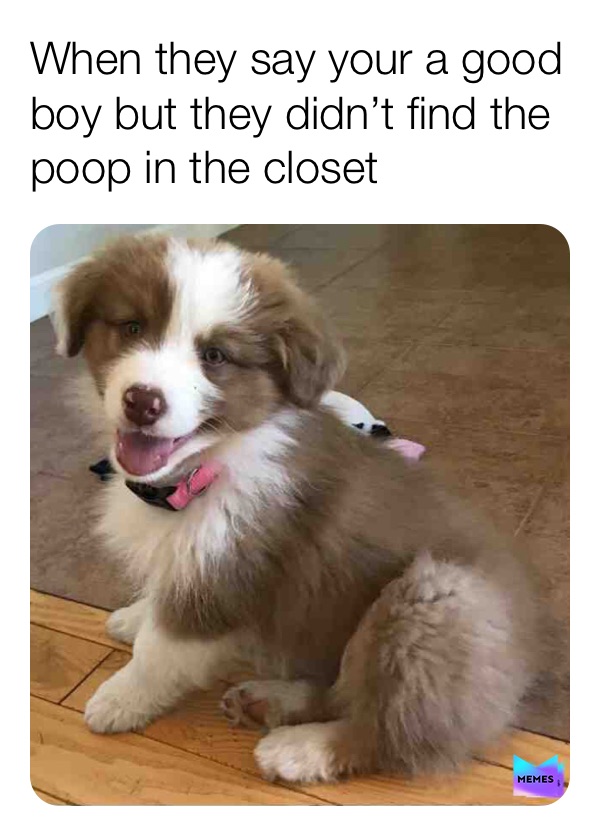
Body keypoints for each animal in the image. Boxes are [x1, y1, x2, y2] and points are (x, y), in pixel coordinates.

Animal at [54, 234, 536, 783]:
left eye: (214, 355)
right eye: (132, 327)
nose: (142, 401)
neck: (207, 467)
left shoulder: (228, 576)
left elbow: (160, 650)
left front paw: (119, 698)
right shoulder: (193, 562)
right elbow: (161, 602)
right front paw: (135, 617)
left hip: (434, 601)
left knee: (386, 730)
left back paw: (300, 748)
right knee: (340, 690)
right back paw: (269, 702)